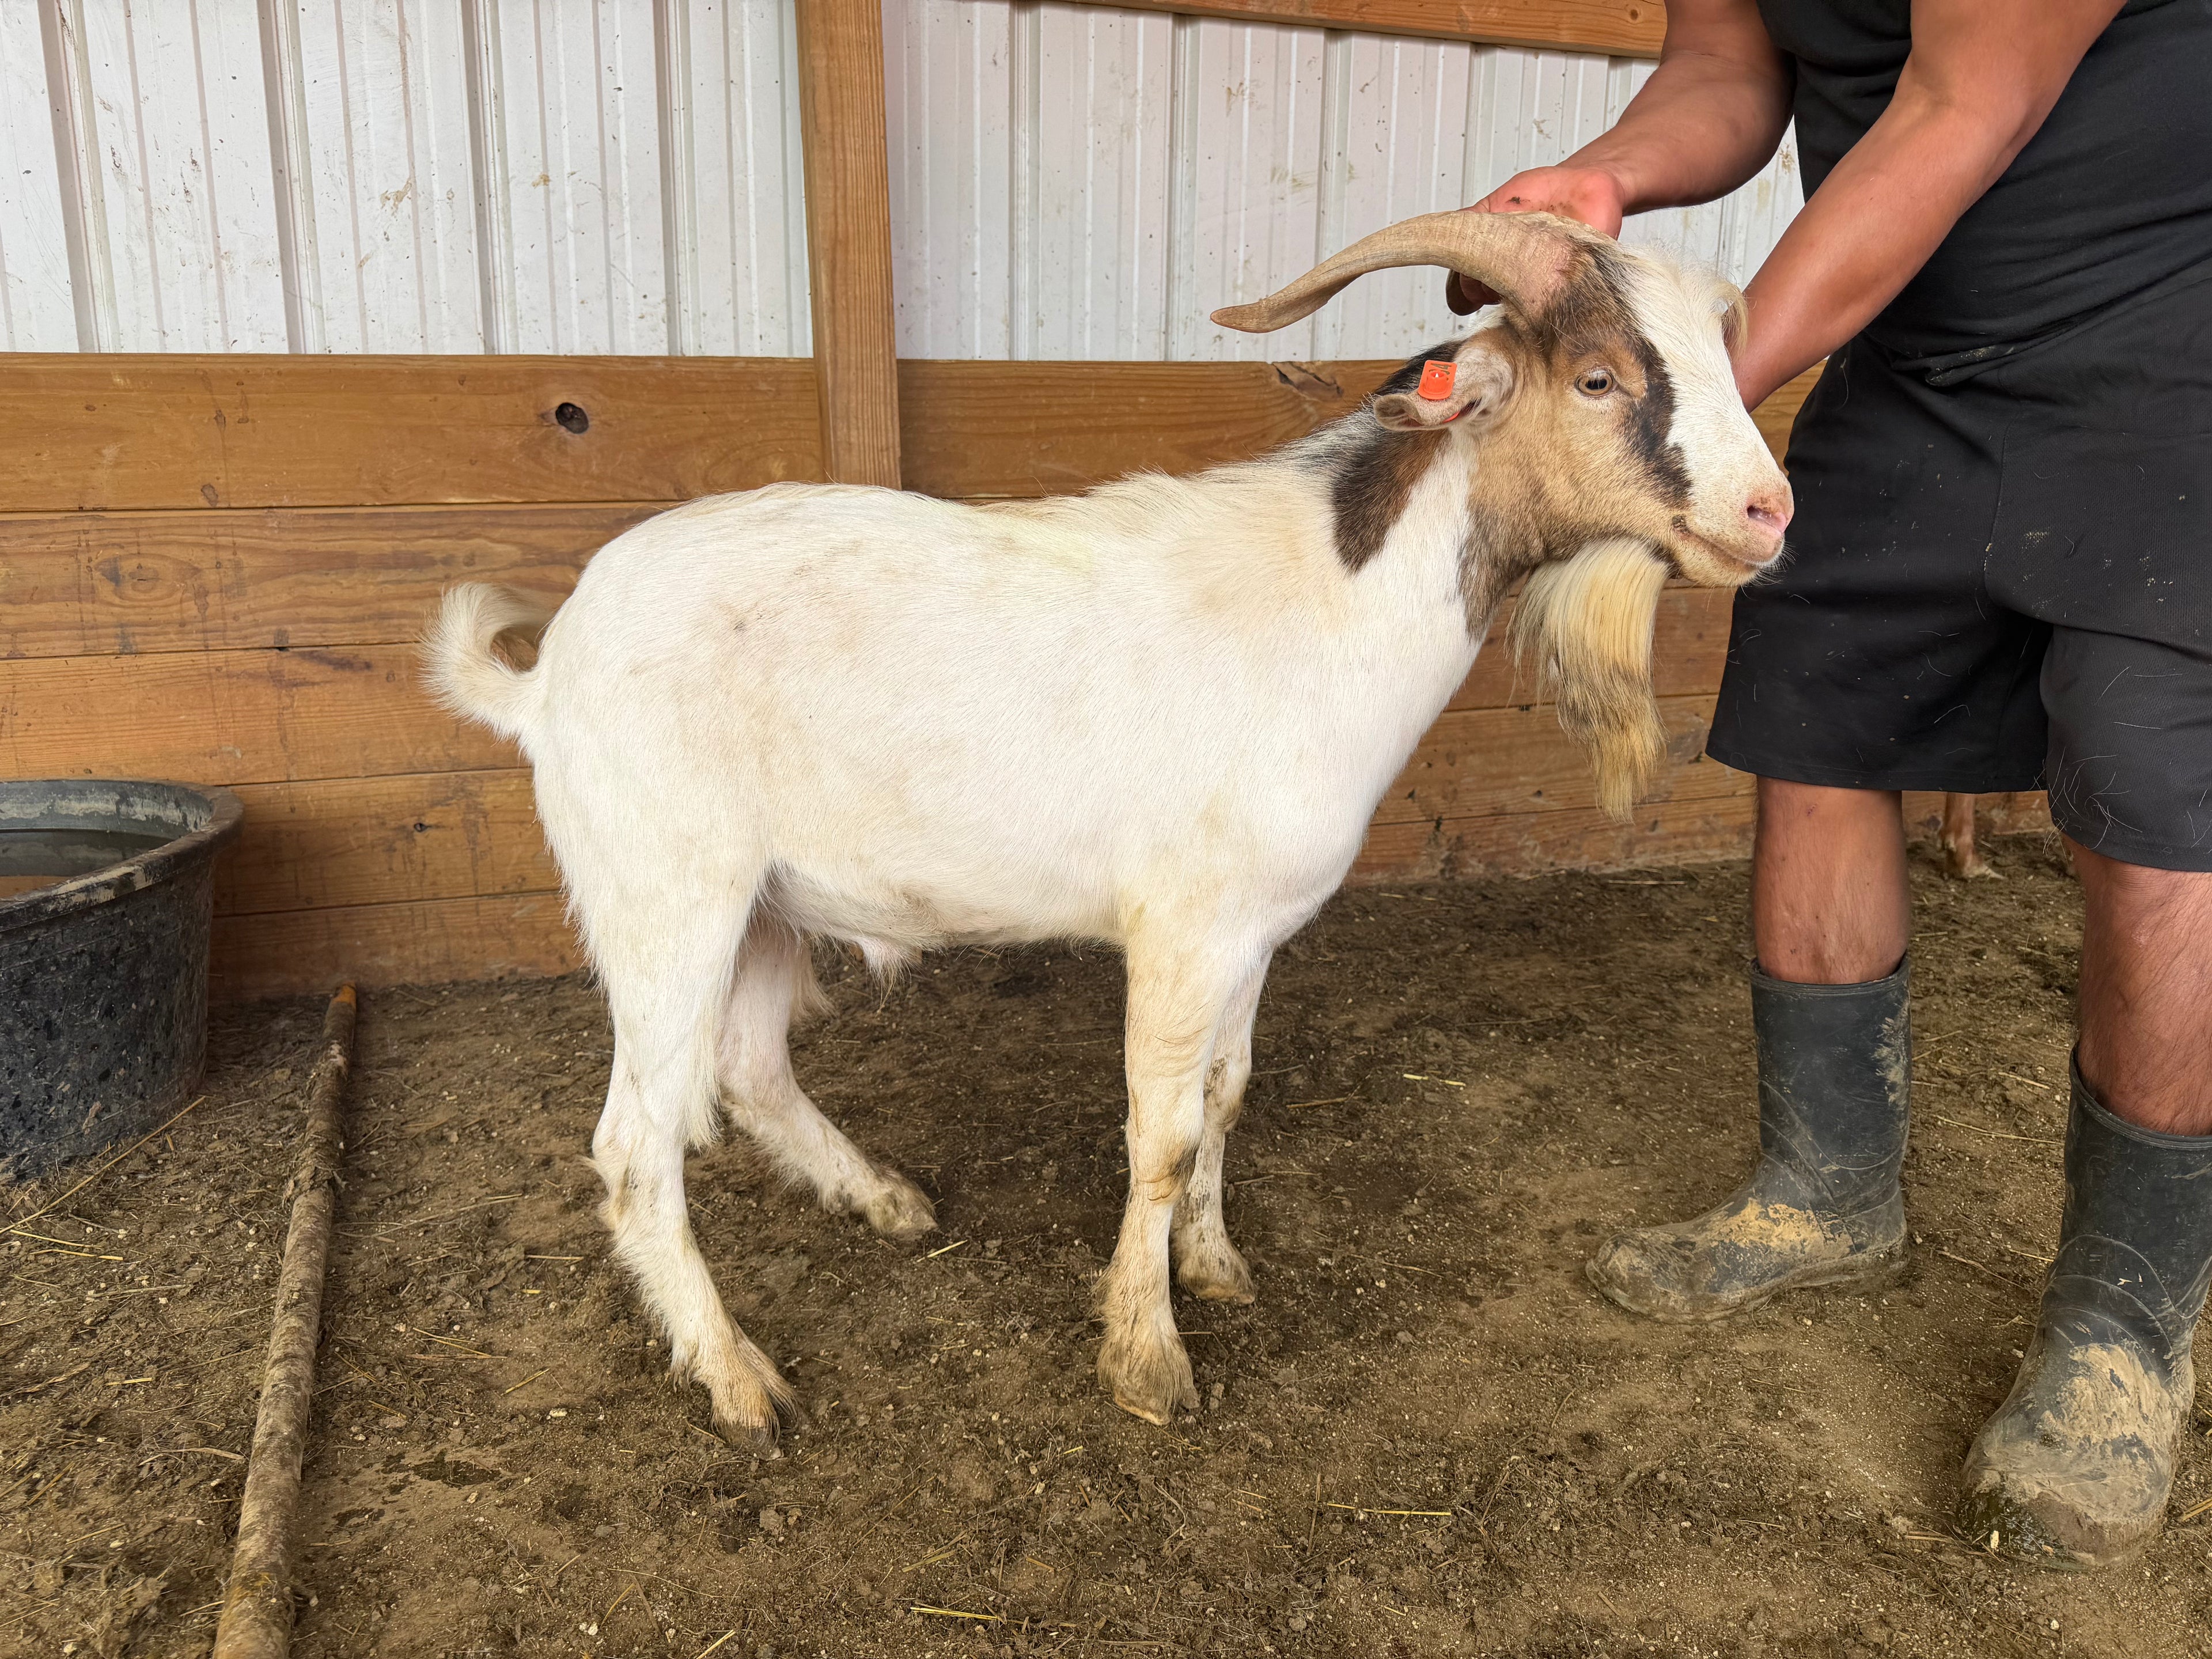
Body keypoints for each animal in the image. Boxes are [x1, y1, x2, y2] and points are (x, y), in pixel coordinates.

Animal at [425, 211, 1793, 1440]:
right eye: (1599, 377)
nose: (1768, 514)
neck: (1325, 605)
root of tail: (546, 677)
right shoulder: (1182, 934)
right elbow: (1163, 1137)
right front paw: (1146, 1360)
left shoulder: (1255, 931)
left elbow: (1228, 1099)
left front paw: (1217, 1270)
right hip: (666, 898)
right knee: (636, 1148)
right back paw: (739, 1384)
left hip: (764, 904)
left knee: (752, 1072)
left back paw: (885, 1203)